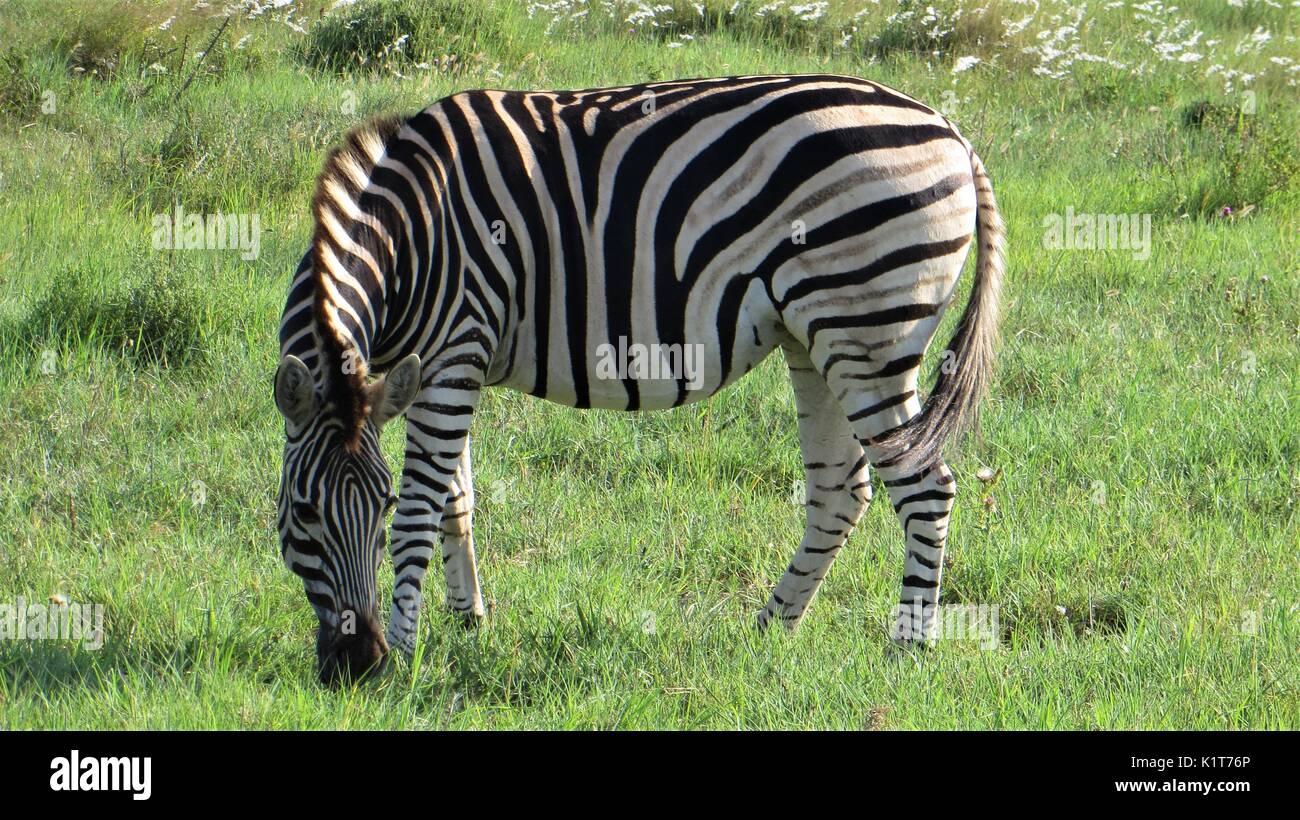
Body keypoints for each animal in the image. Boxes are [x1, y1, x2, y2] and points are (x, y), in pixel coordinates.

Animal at [274, 72, 1003, 686]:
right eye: (305, 512)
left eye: (380, 505)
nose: (356, 666)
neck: (412, 241)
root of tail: (952, 131)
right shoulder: (448, 361)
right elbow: (457, 498)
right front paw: (468, 618)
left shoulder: (456, 346)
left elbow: (425, 509)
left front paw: (405, 652)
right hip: (818, 335)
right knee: (840, 491)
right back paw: (768, 629)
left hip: (869, 325)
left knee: (925, 486)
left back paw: (907, 647)